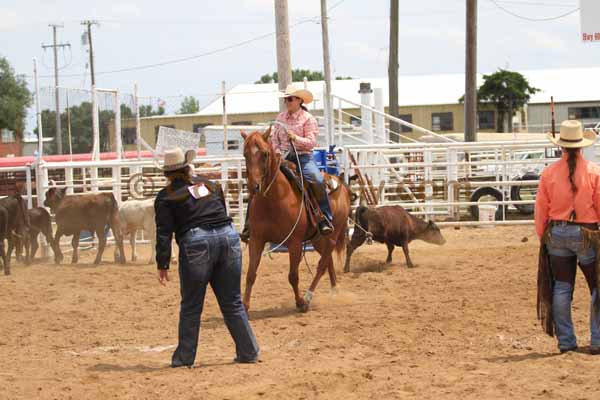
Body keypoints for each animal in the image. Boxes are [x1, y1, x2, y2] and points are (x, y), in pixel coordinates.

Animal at [240, 130, 352, 310]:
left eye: (264, 154)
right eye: (245, 154)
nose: (254, 186)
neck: (274, 200)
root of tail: (340, 182)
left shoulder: (294, 242)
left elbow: (293, 275)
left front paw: (300, 302)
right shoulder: (256, 240)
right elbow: (250, 274)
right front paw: (244, 305)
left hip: (332, 236)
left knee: (322, 264)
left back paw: (308, 296)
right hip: (318, 239)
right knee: (328, 261)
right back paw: (334, 291)